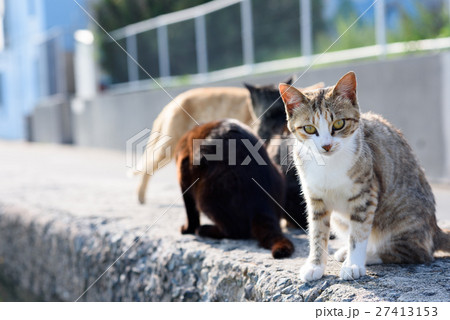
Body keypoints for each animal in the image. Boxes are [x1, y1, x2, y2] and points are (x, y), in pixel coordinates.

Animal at [280, 72, 450, 280]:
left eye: (339, 124)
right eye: (309, 128)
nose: (327, 146)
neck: (328, 163)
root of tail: (435, 228)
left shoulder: (366, 193)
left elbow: (359, 233)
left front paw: (353, 264)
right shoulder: (315, 197)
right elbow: (317, 232)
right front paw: (315, 265)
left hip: (402, 216)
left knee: (415, 253)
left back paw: (368, 255)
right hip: (340, 219)